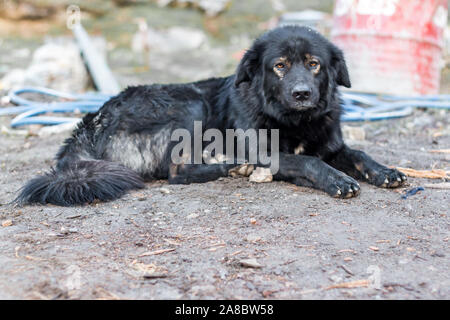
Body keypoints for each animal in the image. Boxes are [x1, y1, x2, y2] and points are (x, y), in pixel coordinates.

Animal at [15, 24, 406, 205]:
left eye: (314, 64)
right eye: (279, 66)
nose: (302, 94)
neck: (295, 122)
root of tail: (91, 122)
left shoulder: (331, 144)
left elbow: (358, 153)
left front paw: (385, 172)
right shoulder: (264, 151)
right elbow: (308, 162)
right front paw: (336, 180)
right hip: (191, 104)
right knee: (176, 172)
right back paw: (231, 166)